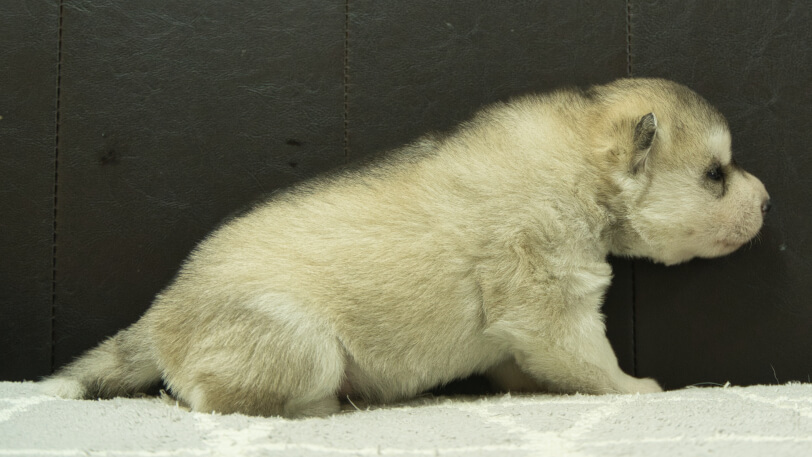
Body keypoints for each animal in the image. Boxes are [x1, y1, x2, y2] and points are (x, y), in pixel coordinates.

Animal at [42, 79, 768, 416]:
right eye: (715, 174)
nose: (766, 201)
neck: (582, 164)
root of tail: (160, 311)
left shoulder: (528, 328)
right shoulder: (550, 306)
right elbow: (593, 362)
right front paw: (637, 385)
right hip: (302, 343)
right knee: (211, 398)